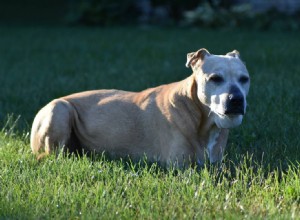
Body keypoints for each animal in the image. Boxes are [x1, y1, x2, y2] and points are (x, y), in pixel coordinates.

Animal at [31, 48, 251, 167]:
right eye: (215, 78)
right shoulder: (180, 166)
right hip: (60, 109)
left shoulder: (216, 165)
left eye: (244, 79)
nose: (236, 99)